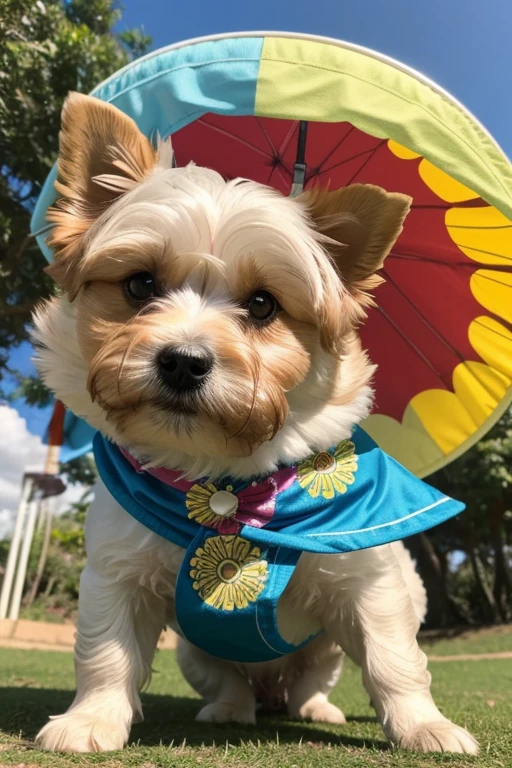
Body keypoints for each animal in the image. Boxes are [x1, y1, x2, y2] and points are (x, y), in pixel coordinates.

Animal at [32, 93, 478, 752]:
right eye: (140, 284)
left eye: (263, 304)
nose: (183, 361)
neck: (225, 484)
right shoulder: (117, 574)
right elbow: (107, 654)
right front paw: (91, 720)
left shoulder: (369, 584)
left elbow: (394, 661)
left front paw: (426, 727)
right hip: (197, 654)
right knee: (229, 682)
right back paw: (231, 709)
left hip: (322, 655)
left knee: (311, 682)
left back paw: (315, 708)